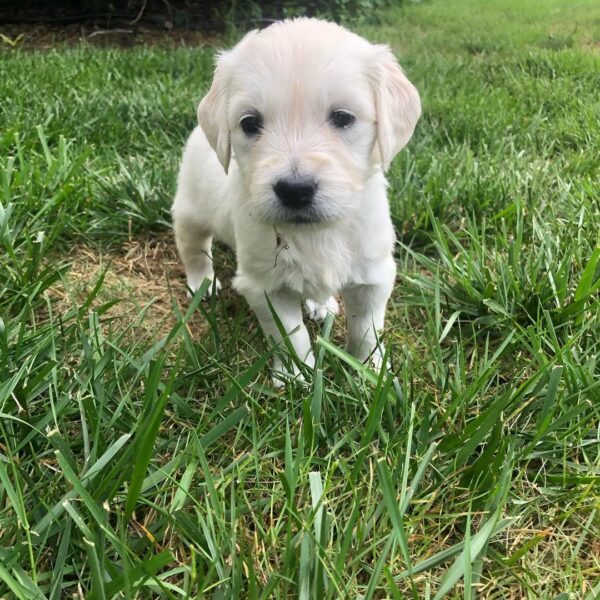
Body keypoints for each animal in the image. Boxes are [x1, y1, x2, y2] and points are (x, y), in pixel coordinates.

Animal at [171, 21, 420, 382]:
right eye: (250, 123)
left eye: (342, 117)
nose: (294, 190)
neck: (316, 232)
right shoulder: (265, 286)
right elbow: (290, 335)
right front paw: (296, 377)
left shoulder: (373, 275)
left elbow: (366, 330)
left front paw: (370, 372)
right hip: (190, 210)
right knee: (194, 248)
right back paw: (202, 283)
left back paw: (321, 305)